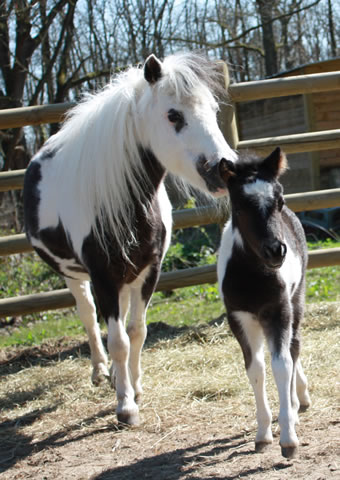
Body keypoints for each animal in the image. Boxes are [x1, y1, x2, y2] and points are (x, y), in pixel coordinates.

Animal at [218, 149, 310, 458]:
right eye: (240, 206)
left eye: (279, 201)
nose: (276, 251)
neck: (253, 276)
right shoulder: (239, 319)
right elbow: (255, 368)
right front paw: (263, 433)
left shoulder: (279, 312)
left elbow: (281, 364)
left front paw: (288, 438)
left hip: (296, 301)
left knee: (294, 348)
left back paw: (295, 404)